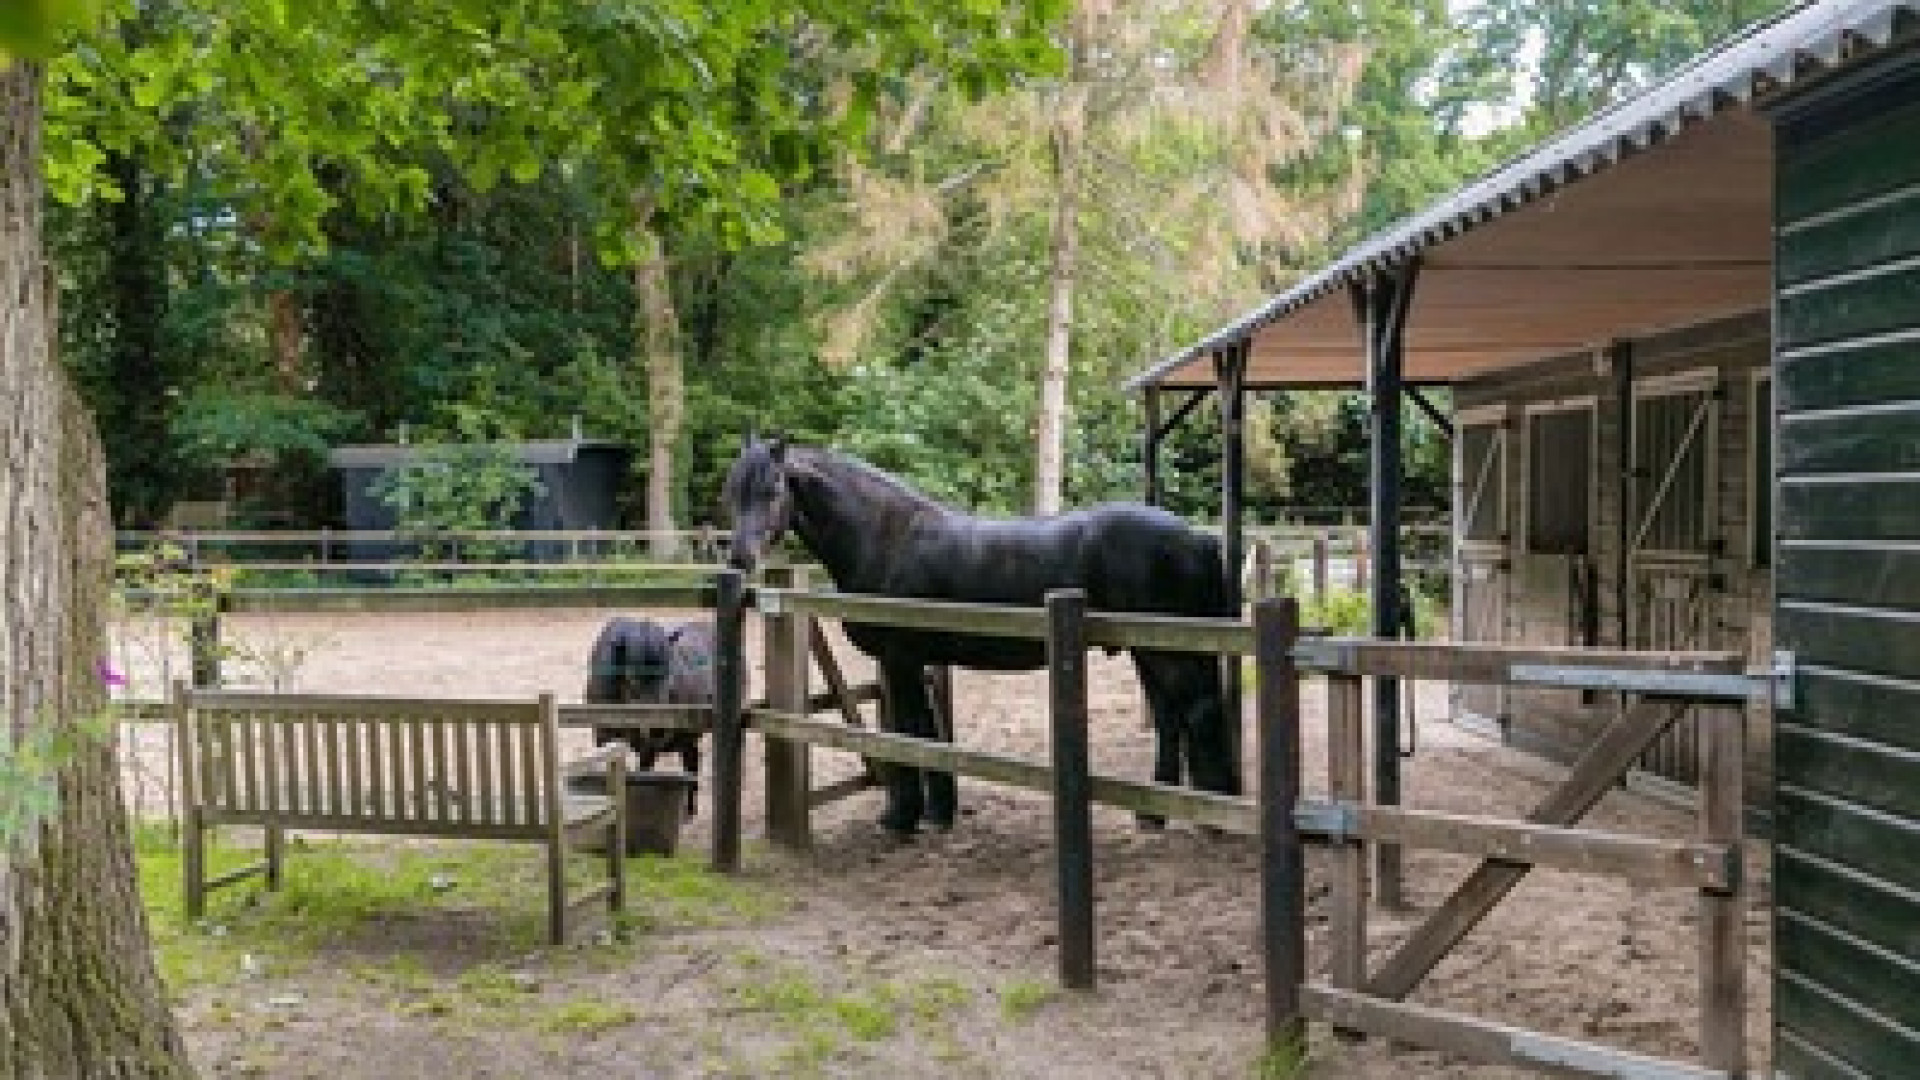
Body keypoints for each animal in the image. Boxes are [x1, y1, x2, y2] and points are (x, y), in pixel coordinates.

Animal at [718, 434, 1228, 834]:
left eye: (773, 489)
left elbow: (911, 732)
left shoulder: (900, 659)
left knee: (1198, 713)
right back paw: (1156, 814)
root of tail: (1198, 538)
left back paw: (1211, 816)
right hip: (1149, 650)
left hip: (1164, 653)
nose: (740, 558)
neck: (887, 536)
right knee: (1170, 717)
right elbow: (928, 731)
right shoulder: (914, 661)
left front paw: (902, 818)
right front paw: (938, 813)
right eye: (731, 490)